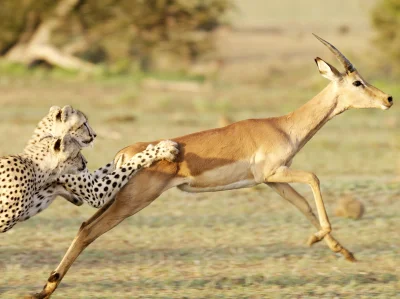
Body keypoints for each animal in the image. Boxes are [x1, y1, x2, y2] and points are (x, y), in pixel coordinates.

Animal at [31, 34, 394, 298]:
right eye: (357, 82)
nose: (389, 99)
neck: (283, 126)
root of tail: (125, 152)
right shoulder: (272, 173)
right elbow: (315, 179)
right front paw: (321, 240)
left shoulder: (272, 181)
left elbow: (302, 203)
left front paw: (341, 251)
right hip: (133, 201)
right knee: (89, 231)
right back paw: (45, 289)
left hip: (118, 198)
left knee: (83, 225)